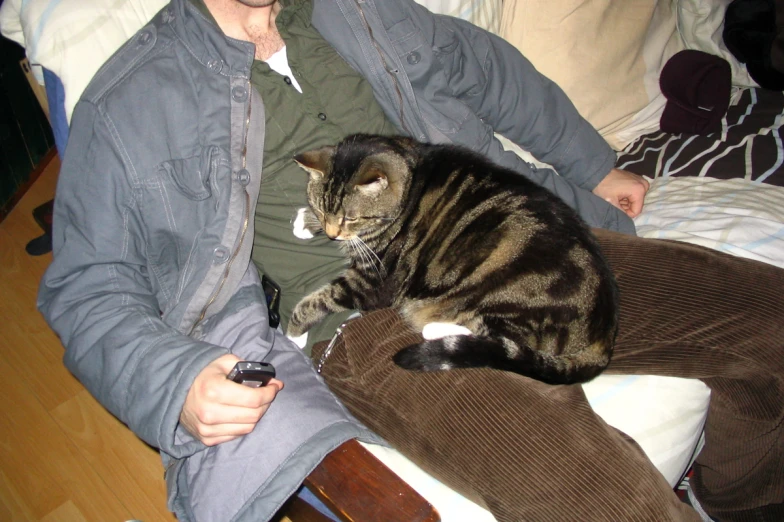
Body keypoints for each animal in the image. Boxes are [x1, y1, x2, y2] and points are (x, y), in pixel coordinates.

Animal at [288, 133, 620, 382]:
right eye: (322, 209)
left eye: (351, 218)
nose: (332, 233)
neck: (410, 177)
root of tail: (605, 333)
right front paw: (307, 222)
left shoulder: (373, 283)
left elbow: (320, 299)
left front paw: (293, 332)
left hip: (502, 298)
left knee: (498, 340)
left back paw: (435, 330)